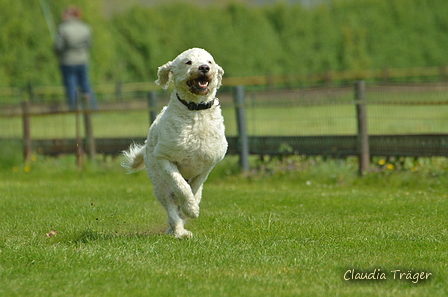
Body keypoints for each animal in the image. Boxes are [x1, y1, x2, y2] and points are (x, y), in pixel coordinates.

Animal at [121, 48, 228, 238]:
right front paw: (191, 209)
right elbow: (181, 186)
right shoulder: (165, 159)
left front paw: (190, 208)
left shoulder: (208, 164)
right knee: (170, 206)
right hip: (159, 184)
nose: (204, 67)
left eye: (210, 61)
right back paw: (178, 231)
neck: (195, 110)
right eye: (188, 62)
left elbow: (194, 187)